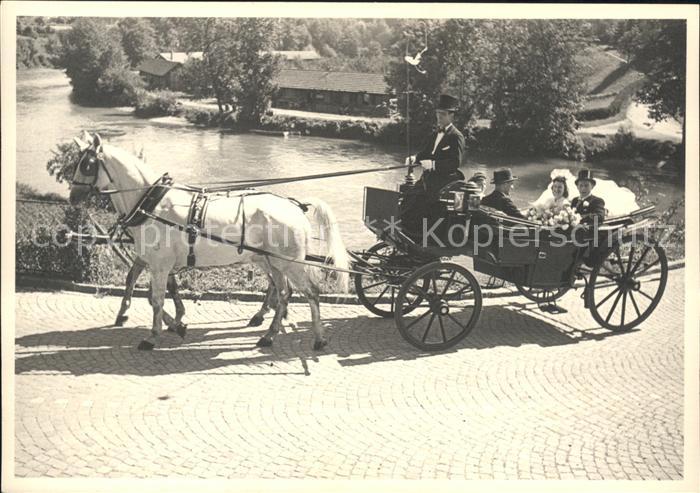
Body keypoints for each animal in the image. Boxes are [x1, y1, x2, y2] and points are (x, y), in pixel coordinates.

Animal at [69, 131, 348, 350]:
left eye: (87, 165)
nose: (72, 197)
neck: (153, 204)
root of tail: (295, 206)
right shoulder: (159, 263)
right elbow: (154, 293)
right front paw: (177, 323)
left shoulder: (160, 265)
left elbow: (156, 299)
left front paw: (153, 336)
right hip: (273, 262)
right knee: (283, 293)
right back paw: (269, 334)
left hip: (289, 263)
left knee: (310, 293)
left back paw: (318, 338)